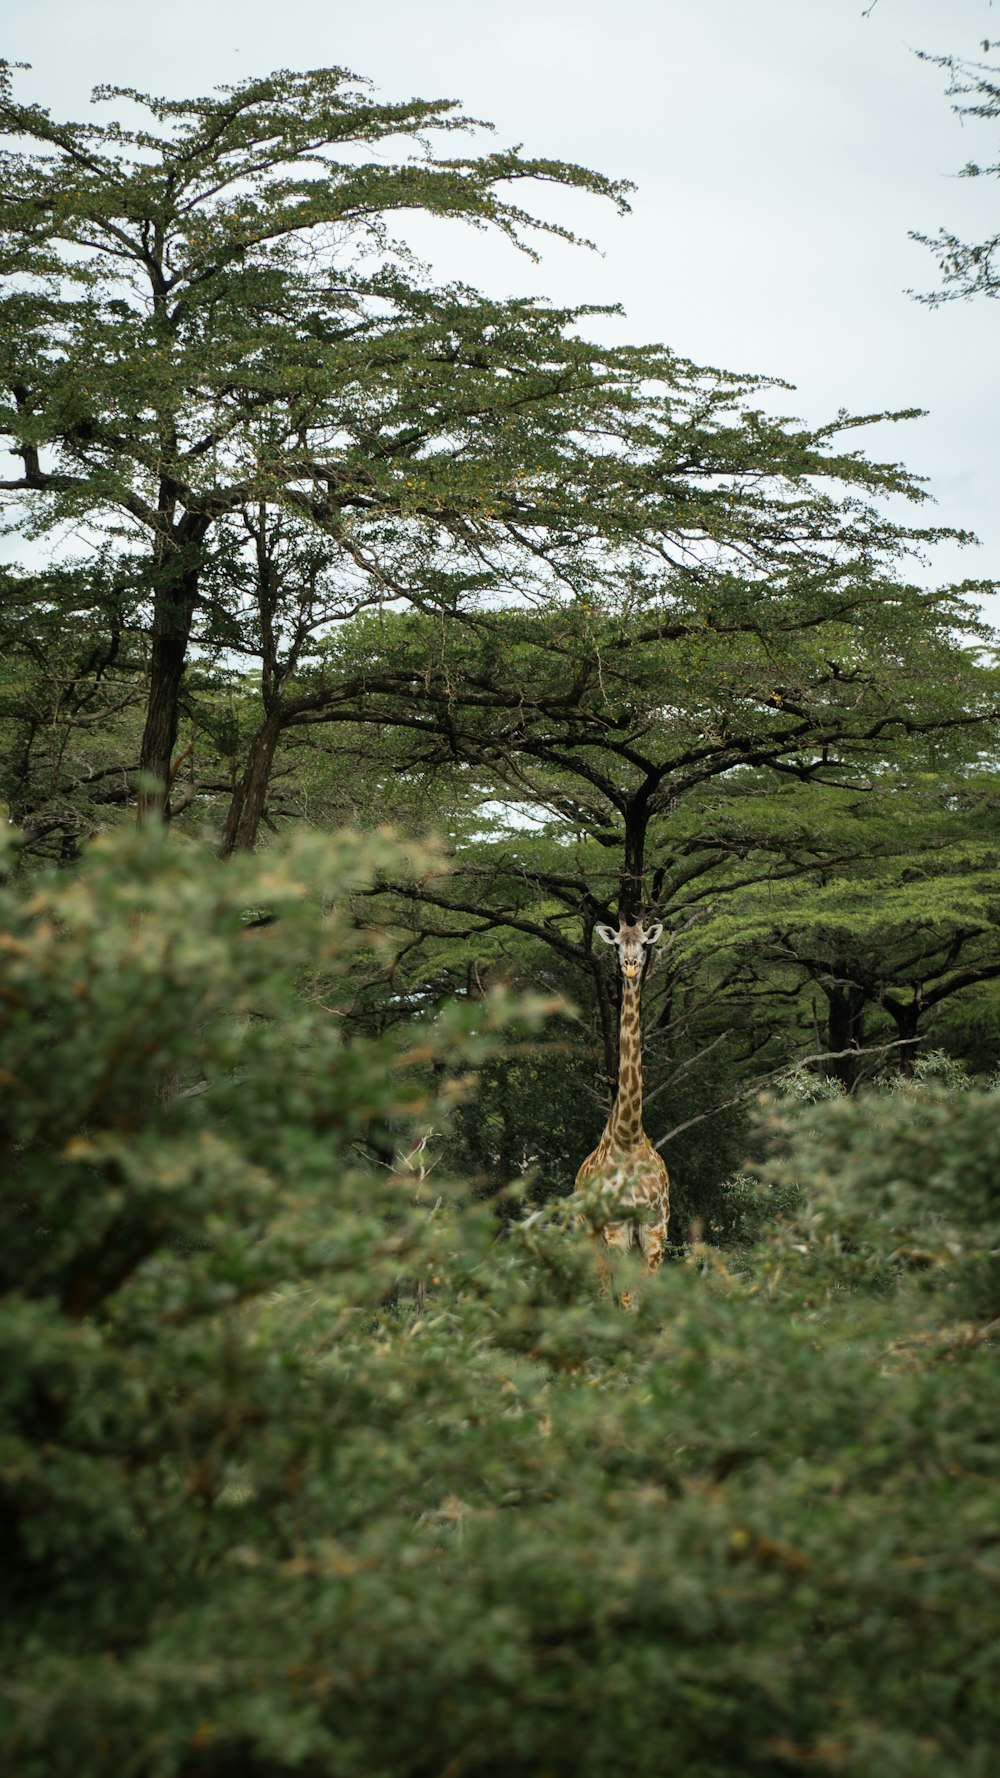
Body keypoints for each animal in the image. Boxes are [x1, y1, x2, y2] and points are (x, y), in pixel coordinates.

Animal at [569, 917, 669, 1308]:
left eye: (644, 943)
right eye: (615, 945)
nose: (629, 966)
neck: (628, 1134)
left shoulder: (655, 1228)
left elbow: (645, 1298)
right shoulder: (615, 1229)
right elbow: (625, 1300)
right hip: (589, 1234)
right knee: (599, 1290)